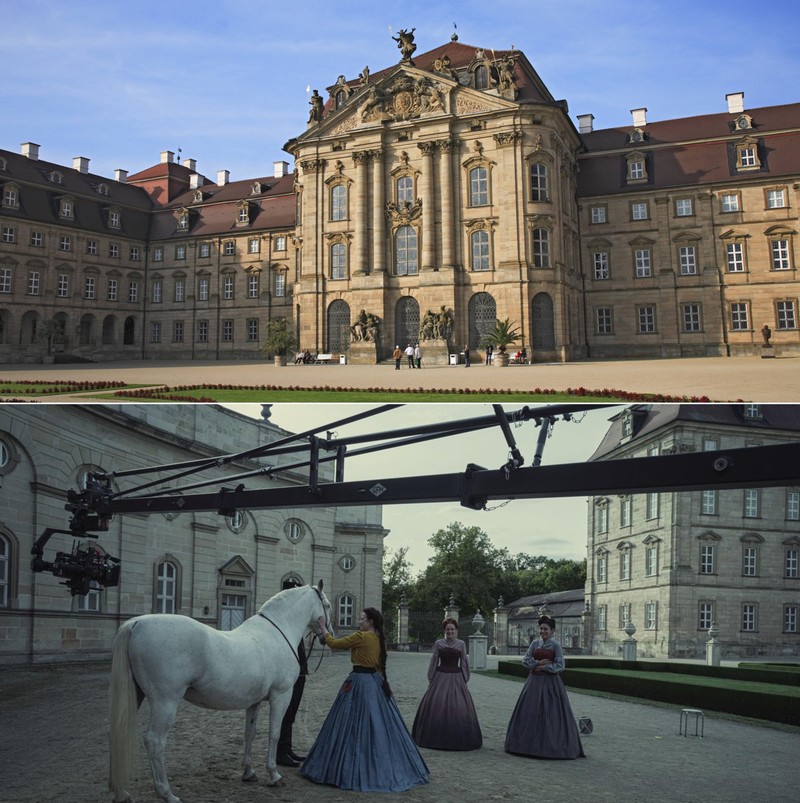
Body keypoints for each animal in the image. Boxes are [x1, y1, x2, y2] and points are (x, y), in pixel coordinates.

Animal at [107, 580, 332, 800]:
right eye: (328, 606)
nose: (327, 635)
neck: (277, 632)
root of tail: (136, 623)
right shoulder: (281, 696)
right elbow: (274, 733)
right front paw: (274, 775)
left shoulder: (254, 701)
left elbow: (250, 733)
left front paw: (248, 772)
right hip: (165, 702)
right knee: (154, 741)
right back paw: (167, 793)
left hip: (137, 695)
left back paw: (122, 793)